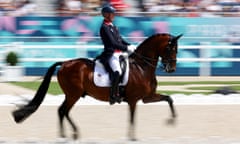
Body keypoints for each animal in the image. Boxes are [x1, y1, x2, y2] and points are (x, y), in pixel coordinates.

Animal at [12, 33, 182, 141]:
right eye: (170, 48)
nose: (172, 69)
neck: (141, 66)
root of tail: (65, 63)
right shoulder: (133, 100)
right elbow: (132, 118)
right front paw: (132, 138)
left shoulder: (147, 97)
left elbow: (169, 98)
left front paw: (171, 121)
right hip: (73, 95)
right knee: (63, 111)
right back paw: (71, 134)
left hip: (71, 95)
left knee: (62, 111)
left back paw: (66, 136)